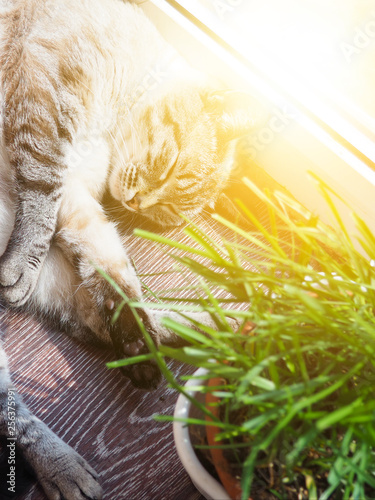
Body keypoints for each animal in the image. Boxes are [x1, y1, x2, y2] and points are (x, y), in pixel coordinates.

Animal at [0, 0, 258, 498]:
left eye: (165, 213)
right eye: (171, 166)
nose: (138, 202)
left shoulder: (76, 201)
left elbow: (114, 274)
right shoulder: (43, 100)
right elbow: (39, 192)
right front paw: (19, 263)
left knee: (123, 318)